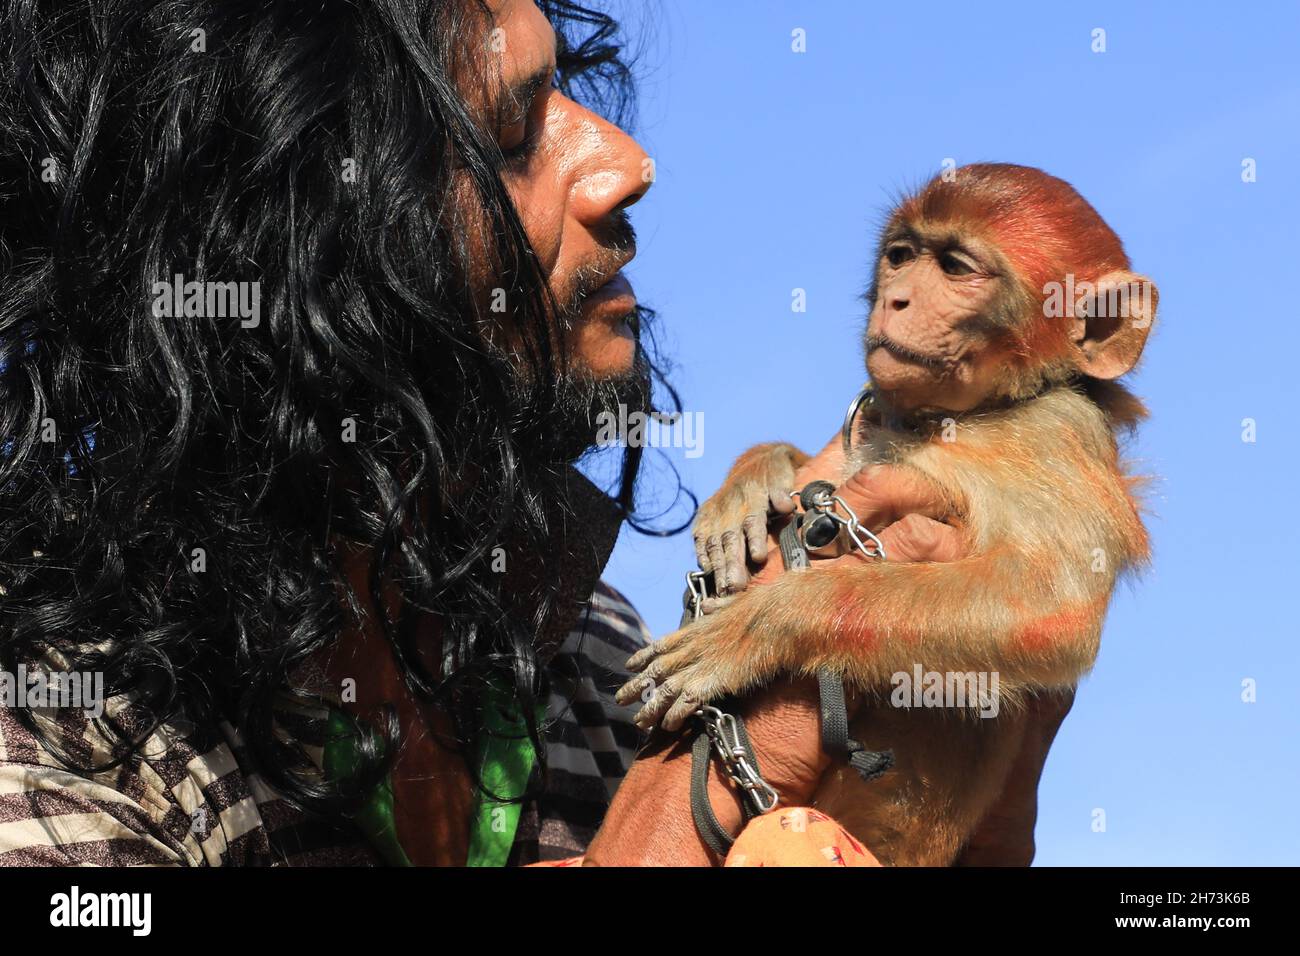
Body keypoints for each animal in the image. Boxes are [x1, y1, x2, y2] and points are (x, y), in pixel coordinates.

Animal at [615, 163, 1156, 866]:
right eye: (901, 257)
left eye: (955, 268)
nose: (896, 300)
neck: (962, 414)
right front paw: (753, 480)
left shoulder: (1058, 431)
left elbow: (1053, 607)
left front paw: (762, 626)